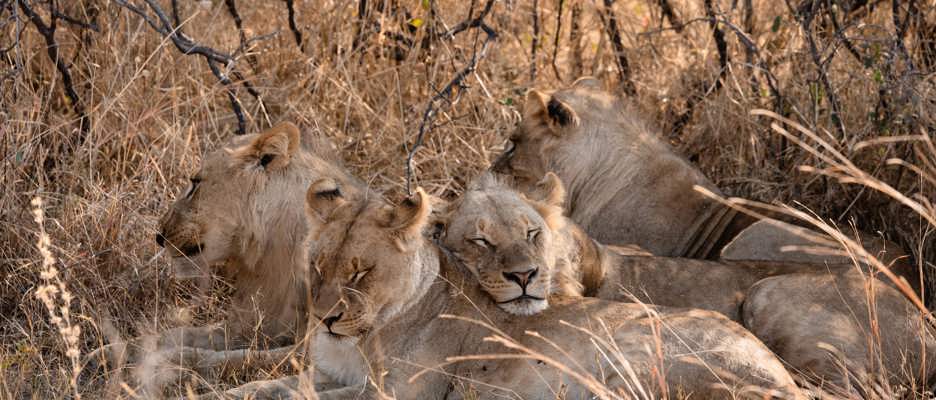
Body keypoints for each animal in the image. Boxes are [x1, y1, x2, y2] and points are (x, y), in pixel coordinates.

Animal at [203, 177, 804, 399]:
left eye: (360, 273)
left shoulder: (403, 395)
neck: (361, 336)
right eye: (318, 268)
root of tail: (780, 375)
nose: (324, 320)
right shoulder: (326, 371)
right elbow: (261, 387)